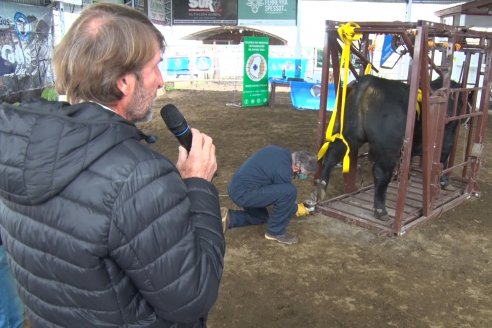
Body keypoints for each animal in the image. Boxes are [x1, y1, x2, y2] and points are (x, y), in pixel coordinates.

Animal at [318, 75, 468, 220]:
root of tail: (369, 81)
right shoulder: (447, 140)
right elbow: (443, 161)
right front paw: (444, 182)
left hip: (349, 134)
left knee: (331, 156)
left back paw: (320, 189)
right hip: (388, 149)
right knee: (381, 173)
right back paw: (381, 211)